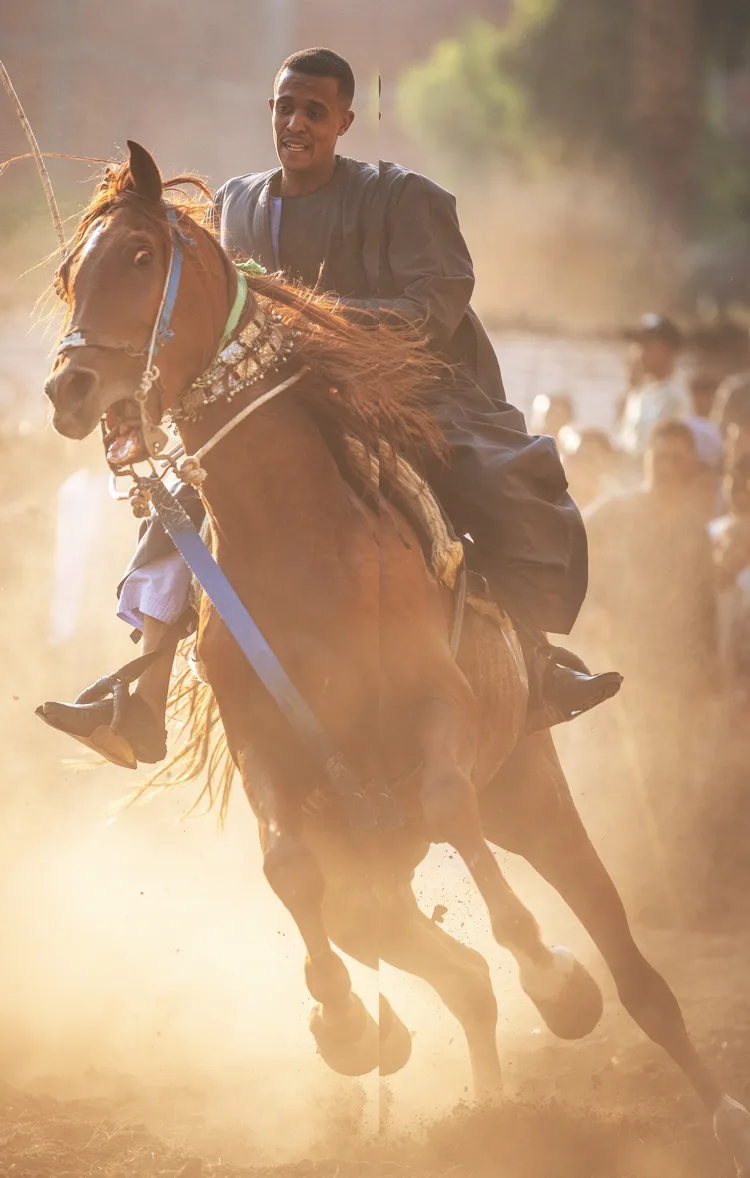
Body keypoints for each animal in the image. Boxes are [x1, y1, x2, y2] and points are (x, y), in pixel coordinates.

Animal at [42, 141, 750, 1172]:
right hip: (371, 885)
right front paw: (343, 1024)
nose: (67, 391)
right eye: (70, 273)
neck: (298, 541)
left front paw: (552, 975)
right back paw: (483, 1113)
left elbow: (453, 804)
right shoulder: (266, 750)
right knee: (460, 976)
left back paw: (708, 1105)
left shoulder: (436, 709)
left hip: (531, 795)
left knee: (632, 972)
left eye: (138, 255)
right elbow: (284, 866)